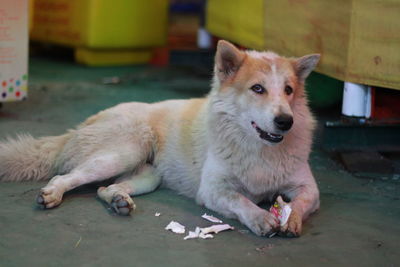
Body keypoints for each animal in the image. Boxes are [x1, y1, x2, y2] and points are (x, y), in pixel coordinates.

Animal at [0, 41, 320, 239]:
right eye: (257, 89)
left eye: (289, 90)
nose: (286, 121)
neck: (258, 148)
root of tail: (81, 125)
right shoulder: (213, 190)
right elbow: (240, 200)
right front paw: (260, 218)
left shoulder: (308, 188)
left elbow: (302, 202)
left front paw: (290, 219)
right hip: (122, 153)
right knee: (66, 177)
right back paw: (52, 194)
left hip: (149, 176)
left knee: (105, 188)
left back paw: (118, 201)